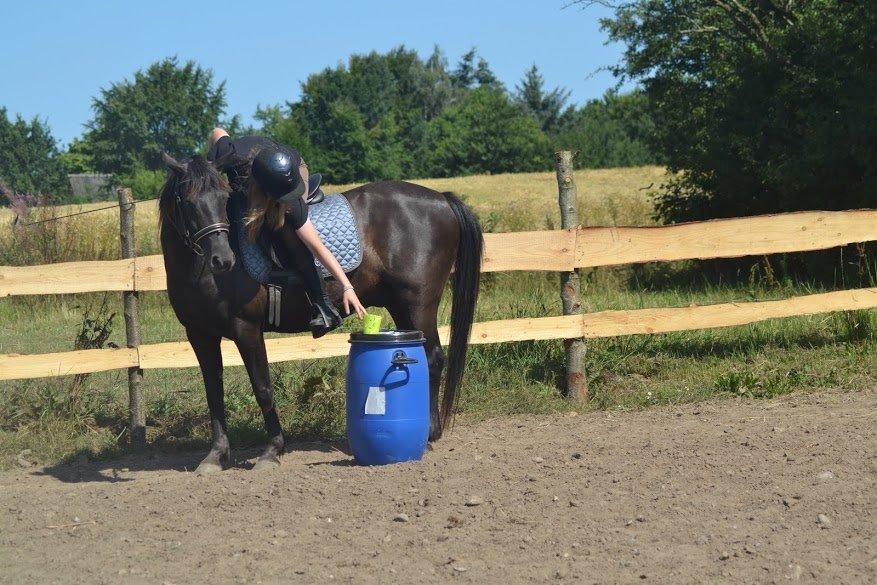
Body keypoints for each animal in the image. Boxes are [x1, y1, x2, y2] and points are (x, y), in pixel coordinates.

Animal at [161, 154, 482, 470]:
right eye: (187, 201)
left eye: (223, 198)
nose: (222, 259)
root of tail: (441, 198)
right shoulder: (200, 335)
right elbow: (213, 393)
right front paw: (216, 455)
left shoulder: (246, 329)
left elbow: (262, 387)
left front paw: (272, 450)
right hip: (400, 306)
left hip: (418, 304)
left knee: (433, 358)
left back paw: (430, 432)